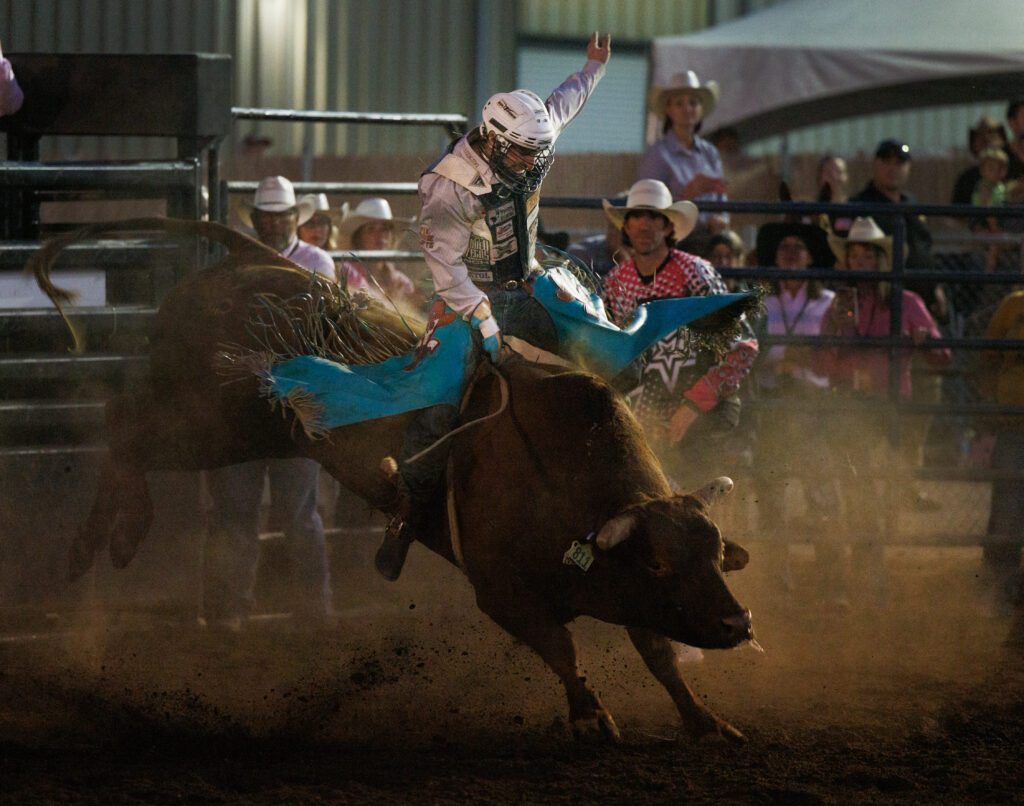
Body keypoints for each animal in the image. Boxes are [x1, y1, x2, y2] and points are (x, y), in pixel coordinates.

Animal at [32, 219, 757, 745]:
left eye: (716, 552)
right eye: (660, 561)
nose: (737, 621)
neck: (559, 483)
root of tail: (248, 261)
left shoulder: (627, 593)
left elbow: (659, 655)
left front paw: (706, 721)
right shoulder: (502, 593)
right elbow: (562, 648)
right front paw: (590, 716)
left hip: (241, 428)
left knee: (128, 434)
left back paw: (106, 542)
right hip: (214, 421)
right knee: (125, 429)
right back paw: (105, 540)